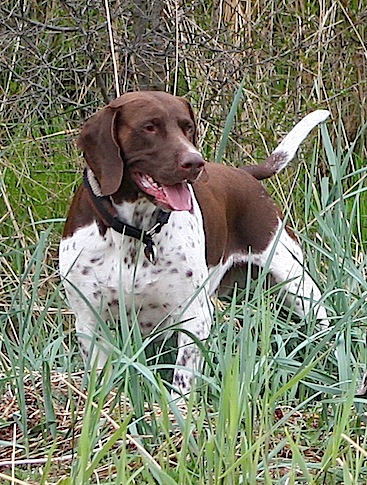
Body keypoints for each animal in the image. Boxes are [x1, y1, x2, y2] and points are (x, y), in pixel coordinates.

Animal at [59, 90, 330, 394]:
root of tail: (245, 174)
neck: (135, 233)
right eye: (149, 127)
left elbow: (181, 383)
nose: (195, 162)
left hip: (297, 284)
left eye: (187, 127)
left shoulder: (194, 318)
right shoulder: (89, 321)